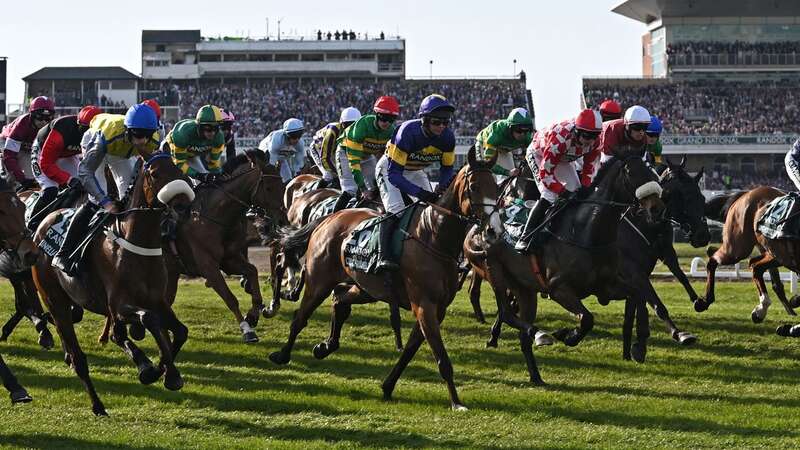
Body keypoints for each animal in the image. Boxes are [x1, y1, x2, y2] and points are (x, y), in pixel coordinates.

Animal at [31, 152, 195, 414]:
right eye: (155, 174)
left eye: (180, 171)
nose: (182, 206)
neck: (137, 242)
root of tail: (44, 222)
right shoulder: (118, 305)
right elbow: (149, 319)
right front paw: (157, 371)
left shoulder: (156, 300)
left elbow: (179, 330)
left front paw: (164, 372)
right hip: (55, 300)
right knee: (78, 357)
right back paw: (98, 404)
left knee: (112, 336)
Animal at [272, 147, 504, 408]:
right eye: (474, 186)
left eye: (496, 188)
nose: (494, 230)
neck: (434, 237)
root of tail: (330, 217)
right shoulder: (424, 305)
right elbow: (441, 358)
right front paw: (456, 403)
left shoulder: (438, 308)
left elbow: (410, 351)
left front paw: (388, 386)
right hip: (318, 281)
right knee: (300, 317)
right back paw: (282, 353)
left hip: (365, 288)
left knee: (339, 299)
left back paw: (325, 346)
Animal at [692, 186, 800, 324]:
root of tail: (747, 193)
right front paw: (794, 300)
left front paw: (794, 300)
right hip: (737, 248)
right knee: (713, 259)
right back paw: (704, 301)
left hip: (775, 254)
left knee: (755, 265)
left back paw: (761, 310)